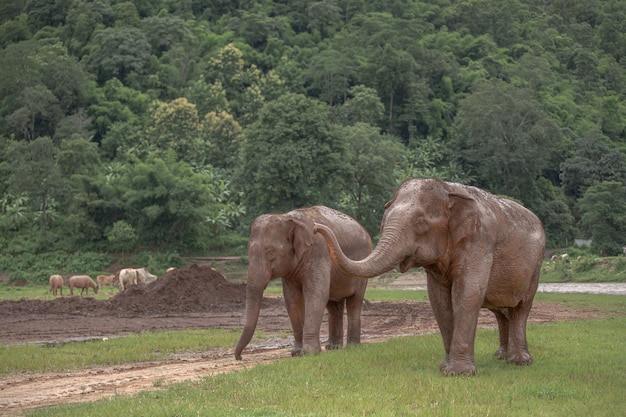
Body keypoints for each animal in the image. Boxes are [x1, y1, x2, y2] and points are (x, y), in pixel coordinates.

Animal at [234, 206, 370, 360]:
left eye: (270, 253)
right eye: (248, 252)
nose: (239, 357)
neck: (289, 218)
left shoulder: (319, 252)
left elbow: (315, 295)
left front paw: (310, 352)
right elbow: (292, 299)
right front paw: (297, 353)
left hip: (361, 269)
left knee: (354, 301)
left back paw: (352, 346)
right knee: (334, 305)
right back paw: (333, 347)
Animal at [314, 177, 544, 376]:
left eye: (420, 223)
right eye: (383, 222)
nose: (316, 228)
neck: (448, 190)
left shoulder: (479, 241)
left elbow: (467, 294)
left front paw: (459, 373)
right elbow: (439, 300)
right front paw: (445, 368)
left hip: (536, 267)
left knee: (521, 308)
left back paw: (519, 361)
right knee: (502, 311)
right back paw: (502, 357)